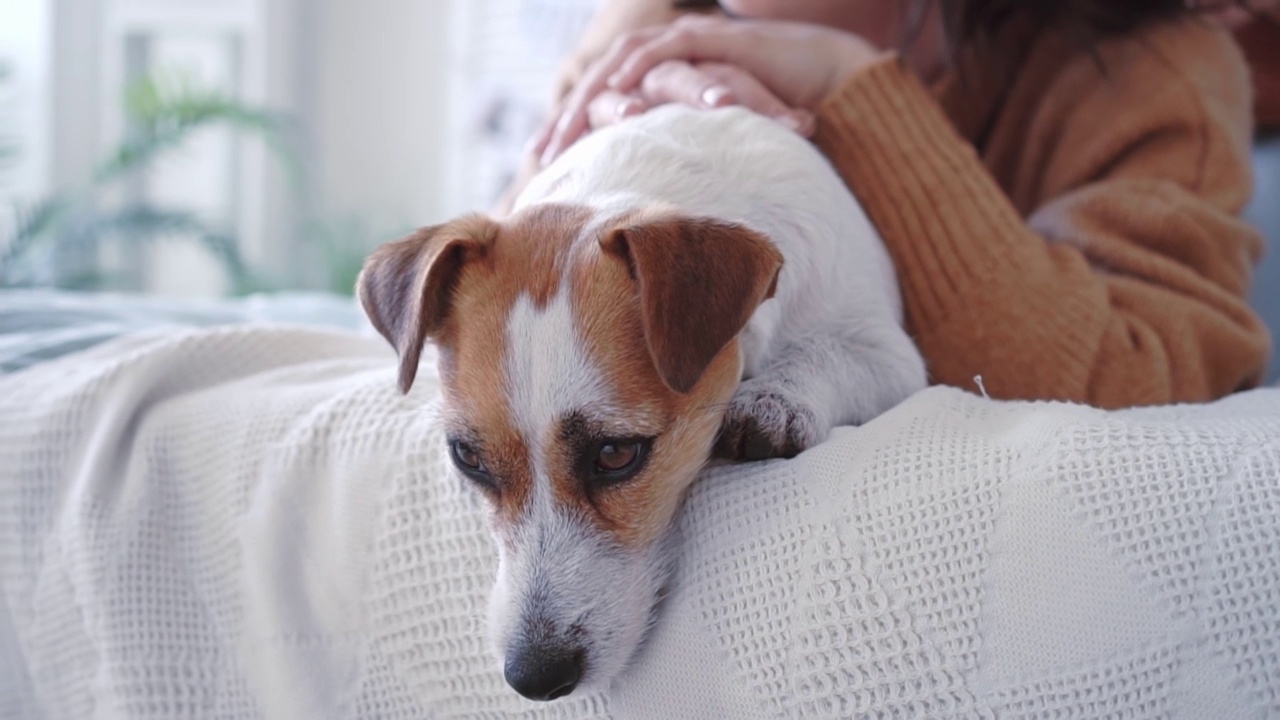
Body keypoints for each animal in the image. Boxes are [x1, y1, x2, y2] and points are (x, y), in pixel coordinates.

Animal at [355, 103, 926, 696]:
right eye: (468, 458)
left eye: (616, 455)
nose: (533, 677)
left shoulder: (890, 357)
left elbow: (825, 350)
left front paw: (776, 398)